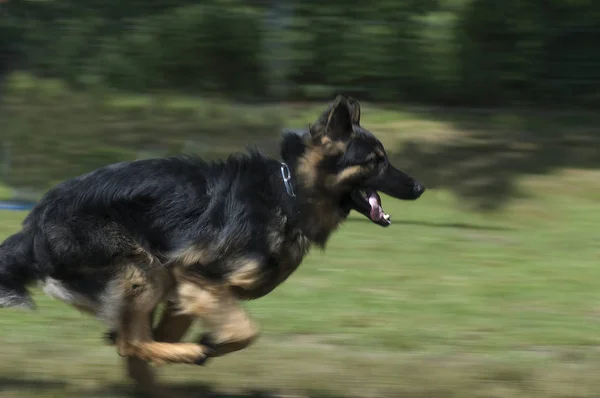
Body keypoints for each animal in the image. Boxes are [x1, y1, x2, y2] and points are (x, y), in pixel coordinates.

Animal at [0, 95, 422, 394]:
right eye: (377, 161)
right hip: (145, 272)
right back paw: (188, 354)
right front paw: (205, 347)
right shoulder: (197, 277)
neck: (288, 193)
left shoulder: (187, 293)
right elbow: (244, 332)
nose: (419, 187)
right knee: (131, 342)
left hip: (152, 279)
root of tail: (34, 223)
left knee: (131, 345)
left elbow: (159, 338)